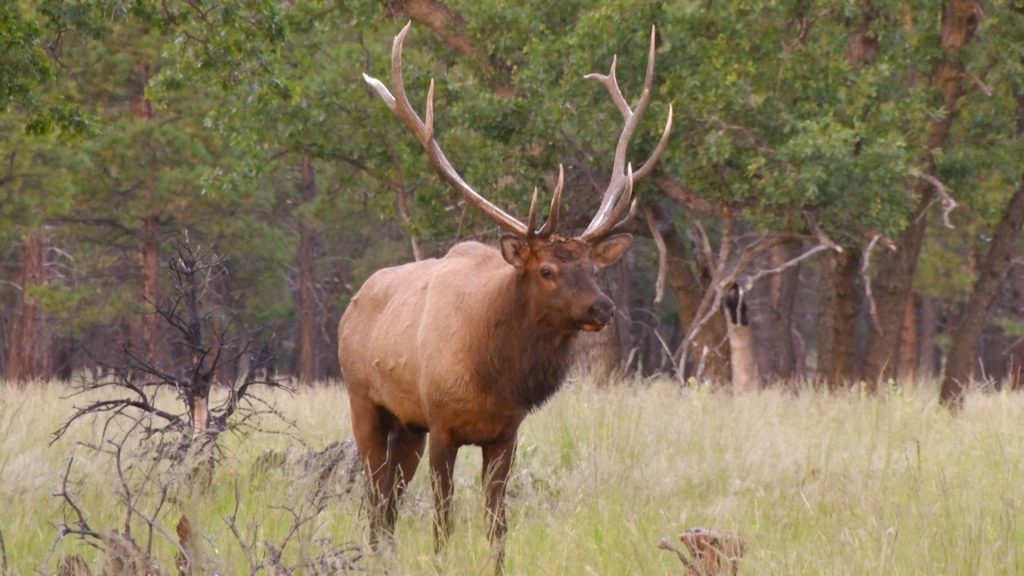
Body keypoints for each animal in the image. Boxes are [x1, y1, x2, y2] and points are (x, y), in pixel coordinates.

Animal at [337, 21, 671, 565]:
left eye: (592, 268)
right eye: (548, 269)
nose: (602, 306)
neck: (492, 374)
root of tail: (352, 303)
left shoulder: (505, 434)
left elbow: (498, 525)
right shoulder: (443, 426)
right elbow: (444, 520)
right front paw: (441, 562)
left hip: (407, 424)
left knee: (388, 500)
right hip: (363, 399)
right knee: (374, 493)